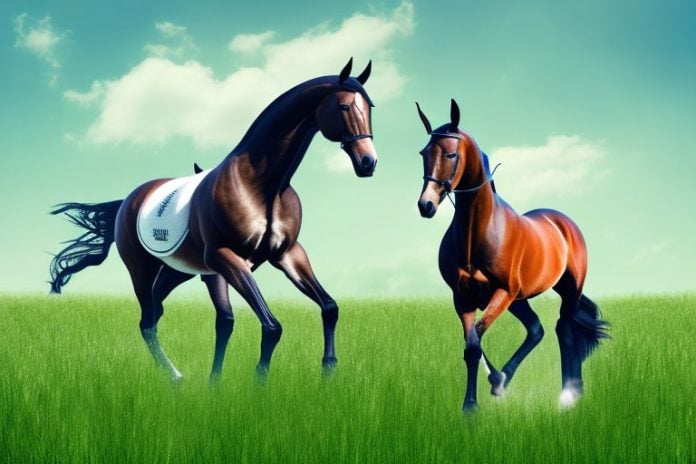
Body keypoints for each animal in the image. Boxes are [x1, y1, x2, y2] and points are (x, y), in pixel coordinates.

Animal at [49, 58, 377, 382]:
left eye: (370, 107)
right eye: (344, 107)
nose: (368, 163)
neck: (262, 185)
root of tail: (127, 202)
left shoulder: (286, 254)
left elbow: (329, 307)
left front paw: (328, 370)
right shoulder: (225, 256)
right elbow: (271, 326)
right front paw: (259, 381)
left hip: (177, 271)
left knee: (165, 313)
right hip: (143, 269)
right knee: (148, 321)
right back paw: (176, 377)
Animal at [414, 99, 608, 411]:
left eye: (451, 153)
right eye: (424, 153)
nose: (426, 205)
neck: (475, 235)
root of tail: (564, 222)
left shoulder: (502, 292)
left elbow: (477, 338)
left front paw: (477, 399)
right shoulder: (463, 297)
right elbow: (472, 345)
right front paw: (478, 398)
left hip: (566, 290)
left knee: (565, 330)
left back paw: (569, 393)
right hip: (520, 299)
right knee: (537, 329)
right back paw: (505, 378)